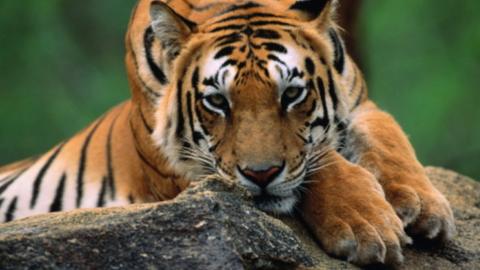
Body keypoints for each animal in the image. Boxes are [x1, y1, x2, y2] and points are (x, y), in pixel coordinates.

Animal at [0, 0, 454, 266]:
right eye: (217, 101)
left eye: (291, 94)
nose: (260, 175)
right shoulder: (180, 167)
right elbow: (322, 163)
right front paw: (367, 226)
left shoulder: (360, 104)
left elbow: (390, 138)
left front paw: (423, 205)